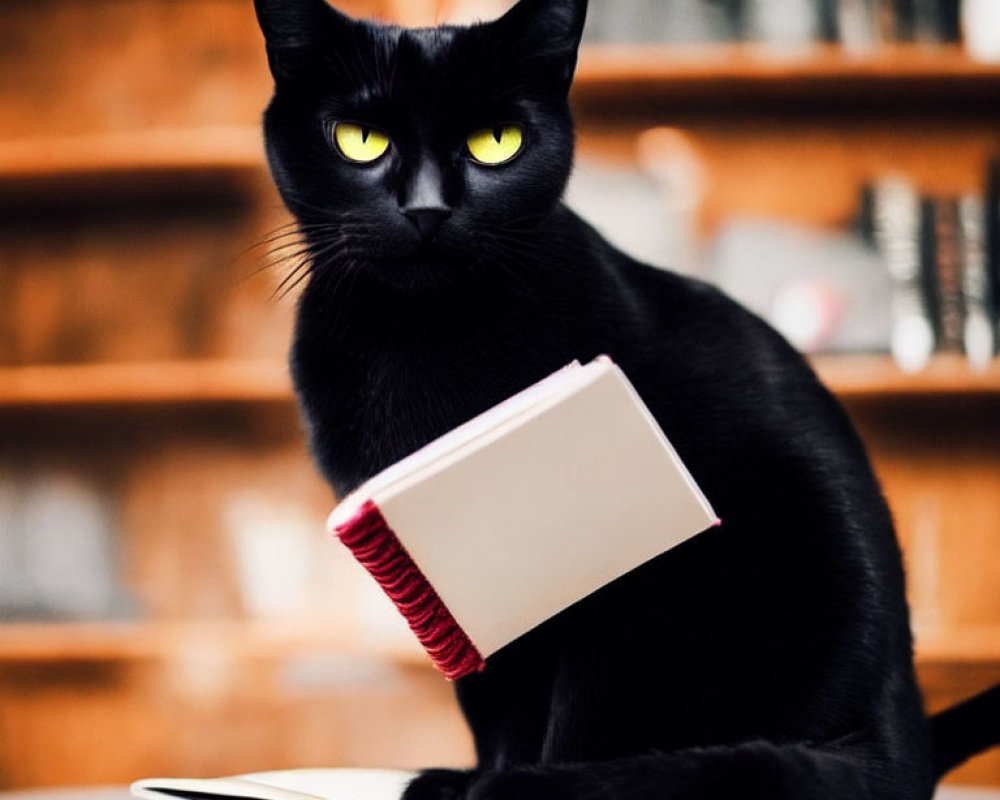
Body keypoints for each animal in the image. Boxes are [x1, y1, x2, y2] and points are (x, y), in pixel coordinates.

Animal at [252, 0, 1000, 796]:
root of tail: (908, 747)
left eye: (496, 142)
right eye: (361, 139)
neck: (420, 345)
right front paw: (473, 775)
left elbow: (561, 717)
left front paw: (513, 781)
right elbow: (493, 704)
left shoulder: (606, 593)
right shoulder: (470, 608)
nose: (427, 208)